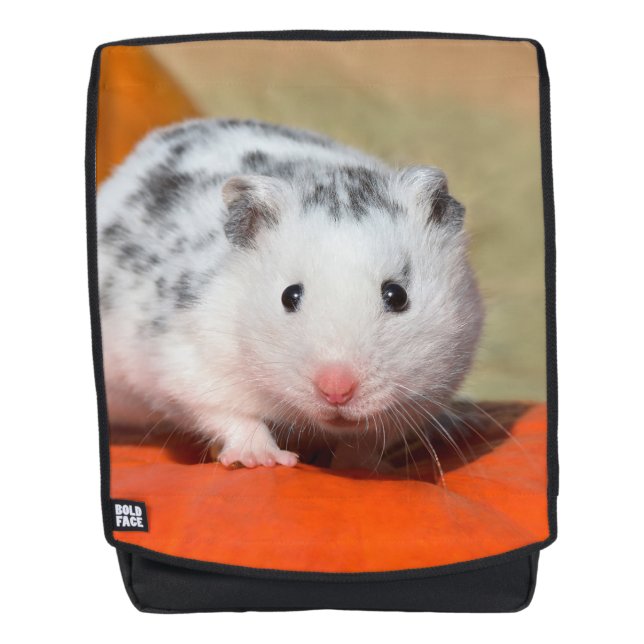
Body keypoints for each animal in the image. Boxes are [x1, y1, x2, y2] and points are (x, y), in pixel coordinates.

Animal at [97, 118, 484, 469]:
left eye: (397, 295)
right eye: (289, 296)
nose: (336, 391)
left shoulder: (431, 388)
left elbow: (368, 442)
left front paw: (358, 468)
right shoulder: (190, 363)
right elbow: (230, 414)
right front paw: (264, 460)